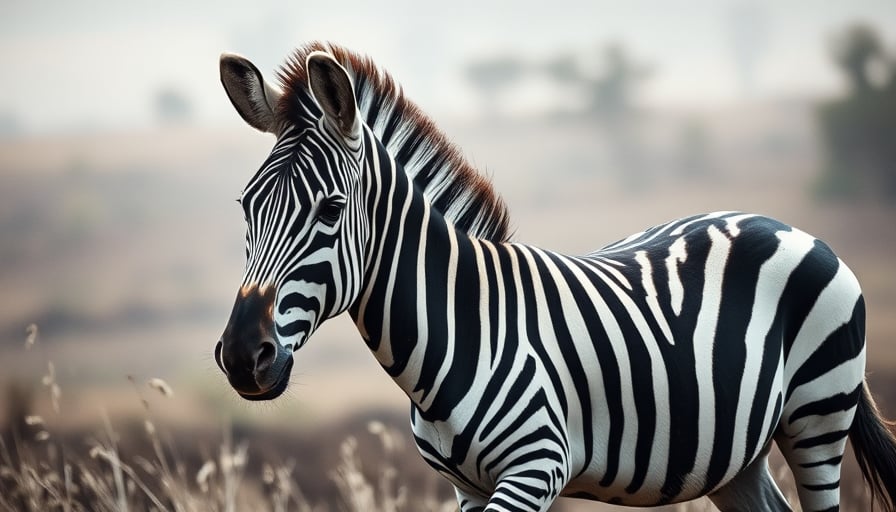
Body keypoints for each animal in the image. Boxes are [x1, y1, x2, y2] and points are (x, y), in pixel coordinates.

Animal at [214, 42, 896, 511]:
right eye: (246, 206)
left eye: (331, 210)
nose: (244, 355)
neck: (456, 329)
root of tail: (787, 226)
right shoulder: (464, 486)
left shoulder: (535, 467)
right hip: (734, 452)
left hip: (817, 414)